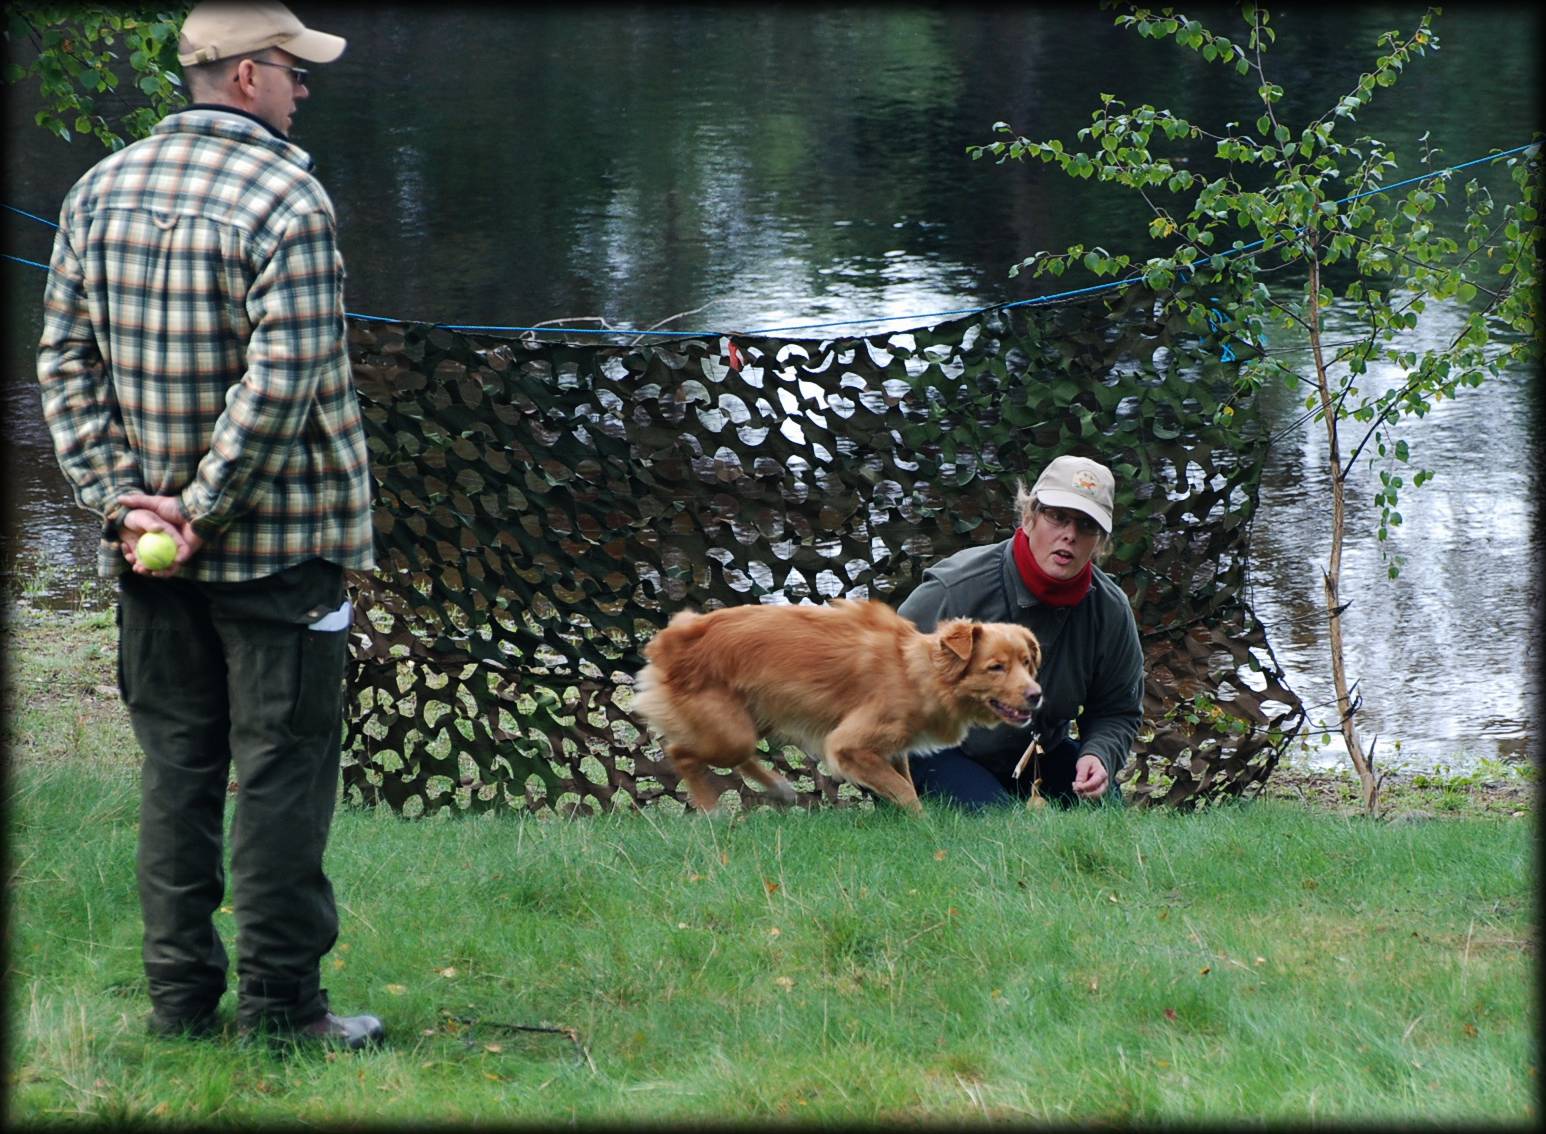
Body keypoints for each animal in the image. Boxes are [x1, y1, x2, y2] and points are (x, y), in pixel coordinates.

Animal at [633, 599, 1045, 815]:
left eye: (1027, 663)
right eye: (996, 667)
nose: (1037, 695)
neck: (917, 671)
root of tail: (671, 638)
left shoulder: (892, 748)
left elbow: (902, 779)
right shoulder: (849, 745)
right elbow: (905, 790)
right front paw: (923, 823)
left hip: (751, 720)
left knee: (739, 754)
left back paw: (779, 788)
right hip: (727, 732)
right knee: (681, 752)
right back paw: (711, 810)